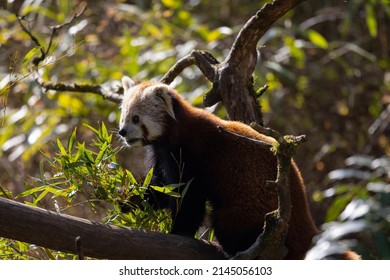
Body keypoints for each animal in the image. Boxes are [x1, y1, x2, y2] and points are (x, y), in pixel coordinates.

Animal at [118, 75, 360, 260]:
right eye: (123, 118)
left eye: (136, 118)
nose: (122, 132)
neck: (173, 133)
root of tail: (304, 221)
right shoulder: (161, 155)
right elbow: (159, 188)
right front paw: (129, 201)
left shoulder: (191, 153)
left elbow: (188, 197)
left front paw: (179, 231)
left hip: (248, 213)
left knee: (228, 224)